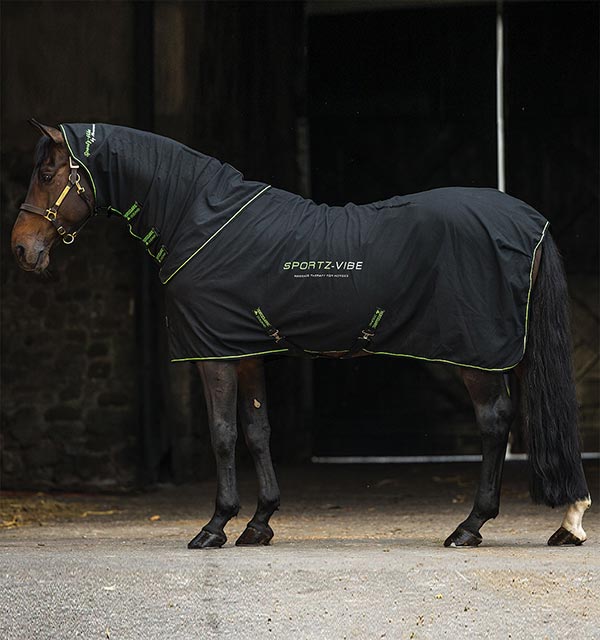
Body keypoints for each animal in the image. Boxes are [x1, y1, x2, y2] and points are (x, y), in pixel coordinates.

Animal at [11, 120, 591, 549]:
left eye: (47, 172)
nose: (22, 249)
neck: (200, 219)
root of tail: (528, 219)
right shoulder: (247, 352)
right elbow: (257, 431)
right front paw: (259, 523)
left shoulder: (213, 354)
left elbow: (223, 434)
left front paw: (214, 527)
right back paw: (568, 521)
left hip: (475, 354)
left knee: (495, 422)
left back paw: (470, 527)